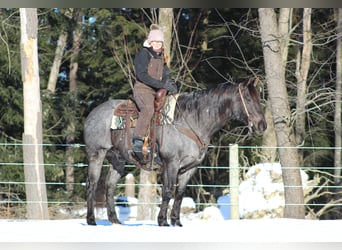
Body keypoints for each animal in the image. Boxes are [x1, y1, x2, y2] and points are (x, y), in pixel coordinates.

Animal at [83, 78, 268, 227]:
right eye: (249, 98)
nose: (262, 126)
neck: (192, 121)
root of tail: (92, 113)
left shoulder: (190, 168)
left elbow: (179, 194)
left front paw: (176, 222)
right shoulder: (171, 163)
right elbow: (167, 191)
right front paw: (163, 221)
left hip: (118, 160)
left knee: (109, 186)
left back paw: (114, 220)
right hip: (96, 154)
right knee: (92, 184)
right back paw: (91, 220)